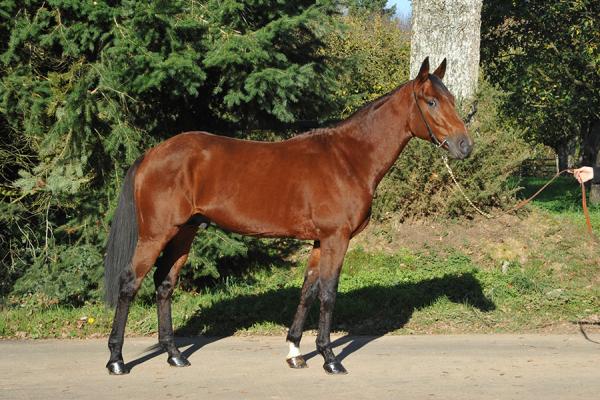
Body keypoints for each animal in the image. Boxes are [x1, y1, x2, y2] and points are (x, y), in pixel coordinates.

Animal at [104, 56, 474, 376]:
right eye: (430, 102)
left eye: (451, 99)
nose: (465, 146)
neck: (349, 158)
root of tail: (151, 154)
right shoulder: (336, 239)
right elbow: (328, 294)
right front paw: (330, 358)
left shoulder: (319, 241)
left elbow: (308, 291)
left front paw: (296, 352)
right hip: (156, 234)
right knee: (130, 282)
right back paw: (117, 360)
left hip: (184, 231)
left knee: (164, 284)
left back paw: (174, 354)